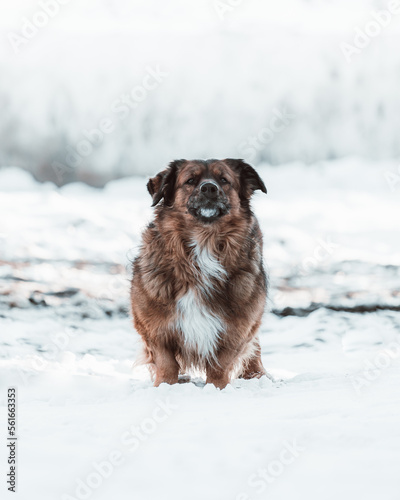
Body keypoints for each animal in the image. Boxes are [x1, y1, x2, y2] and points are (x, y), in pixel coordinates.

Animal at [131, 158, 268, 388]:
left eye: (224, 179)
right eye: (190, 180)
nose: (209, 188)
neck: (204, 242)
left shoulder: (239, 326)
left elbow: (220, 364)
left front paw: (217, 388)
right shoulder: (154, 326)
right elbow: (167, 363)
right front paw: (165, 387)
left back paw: (256, 375)